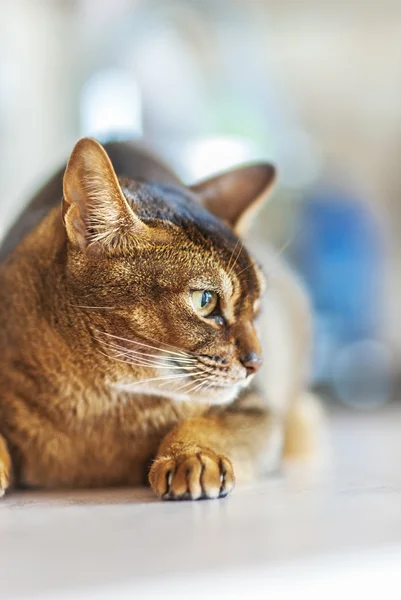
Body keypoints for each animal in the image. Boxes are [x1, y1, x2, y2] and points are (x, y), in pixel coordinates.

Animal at [0, 138, 318, 500]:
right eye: (206, 301)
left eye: (257, 308)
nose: (256, 363)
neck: (99, 402)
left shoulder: (256, 410)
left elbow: (208, 423)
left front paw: (191, 455)